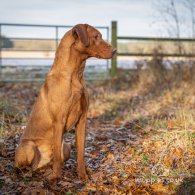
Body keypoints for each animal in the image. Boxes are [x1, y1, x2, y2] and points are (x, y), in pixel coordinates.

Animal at [15, 23, 116, 181]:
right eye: (96, 37)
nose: (115, 50)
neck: (75, 75)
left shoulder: (82, 120)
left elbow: (80, 152)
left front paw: (83, 175)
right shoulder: (59, 121)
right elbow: (57, 157)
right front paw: (56, 178)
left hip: (66, 147)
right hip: (29, 146)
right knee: (23, 167)